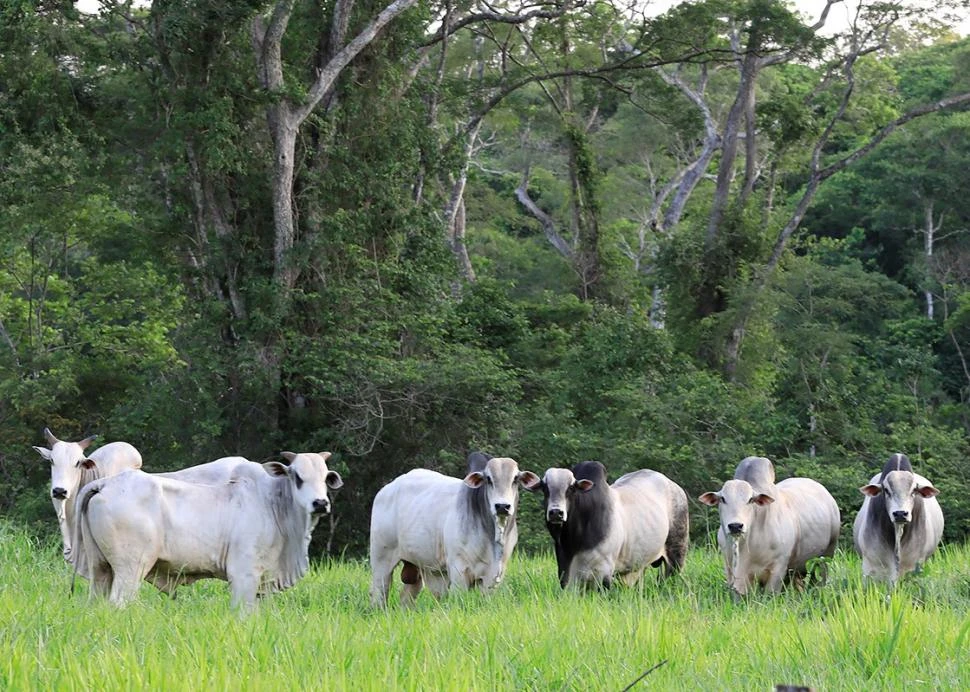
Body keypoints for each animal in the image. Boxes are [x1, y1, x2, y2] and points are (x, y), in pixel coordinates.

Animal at [74, 452, 340, 608]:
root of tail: (104, 483)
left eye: (325, 478)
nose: (320, 503)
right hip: (131, 568)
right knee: (119, 602)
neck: (273, 503)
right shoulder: (244, 574)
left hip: (100, 568)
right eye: (297, 476)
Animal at [368, 454, 536, 604]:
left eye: (515, 479)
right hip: (381, 558)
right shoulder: (458, 569)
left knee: (406, 598)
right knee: (380, 592)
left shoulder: (493, 575)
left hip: (416, 566)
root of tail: (385, 490)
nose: (502, 506)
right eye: (489, 479)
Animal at [696, 454, 840, 596]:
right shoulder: (730, 569)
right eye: (723, 499)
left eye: (750, 500)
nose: (735, 526)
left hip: (825, 556)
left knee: (818, 580)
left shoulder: (778, 568)